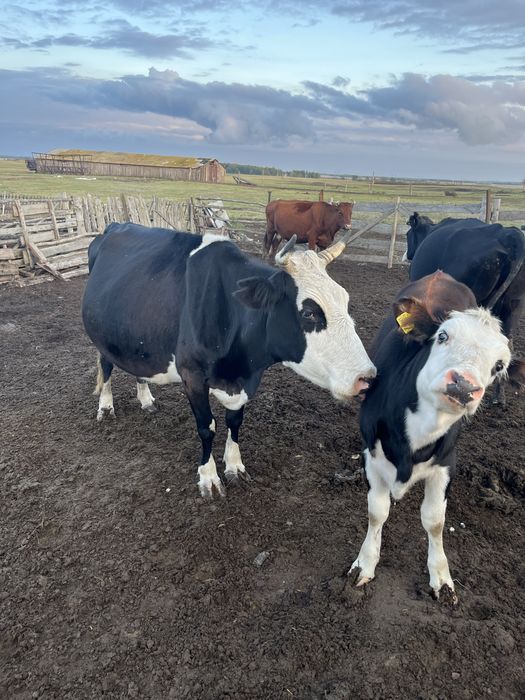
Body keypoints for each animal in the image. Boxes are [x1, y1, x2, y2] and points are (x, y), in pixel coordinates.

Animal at [82, 223, 376, 498]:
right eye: (309, 312)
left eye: (345, 301)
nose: (366, 377)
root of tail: (116, 226)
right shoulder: (192, 376)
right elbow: (207, 427)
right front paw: (208, 477)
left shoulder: (244, 381)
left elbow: (235, 422)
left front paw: (235, 466)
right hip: (101, 336)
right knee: (106, 366)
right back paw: (105, 407)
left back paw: (145, 398)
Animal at [348, 271, 512, 602]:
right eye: (443, 336)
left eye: (499, 365)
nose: (464, 384)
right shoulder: (371, 455)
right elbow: (377, 512)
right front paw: (365, 562)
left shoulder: (447, 462)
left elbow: (435, 521)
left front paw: (441, 576)